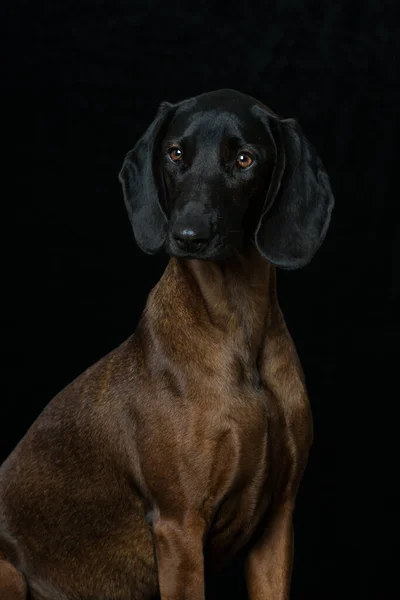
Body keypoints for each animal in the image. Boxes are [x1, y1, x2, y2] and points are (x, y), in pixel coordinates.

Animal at [0, 86, 334, 596]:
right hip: (9, 572)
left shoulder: (277, 524)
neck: (238, 330)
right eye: (175, 154)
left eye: (244, 159)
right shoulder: (179, 527)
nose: (188, 235)